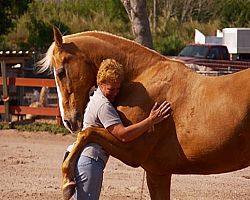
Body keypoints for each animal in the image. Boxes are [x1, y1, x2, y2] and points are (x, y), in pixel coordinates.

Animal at [39, 27, 250, 200]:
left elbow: (87, 133)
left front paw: (67, 182)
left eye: (60, 72)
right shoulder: (157, 173)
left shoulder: (132, 151)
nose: (69, 121)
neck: (142, 77)